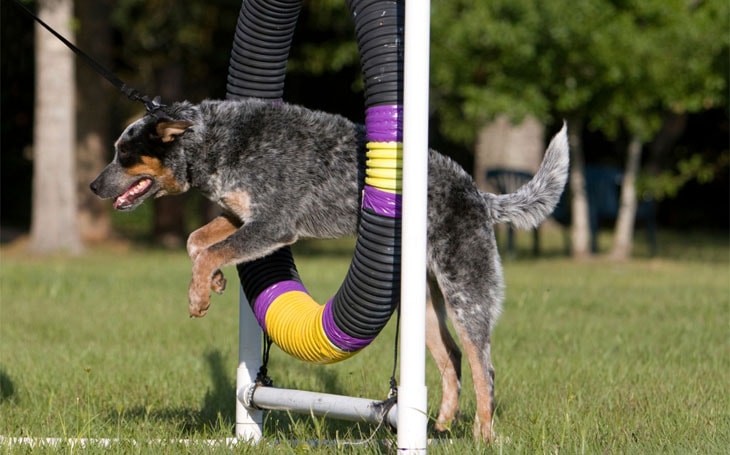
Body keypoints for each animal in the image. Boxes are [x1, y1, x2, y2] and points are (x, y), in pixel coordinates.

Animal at [89, 99, 568, 442]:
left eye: (124, 154)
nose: (93, 185)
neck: (216, 142)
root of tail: (480, 195)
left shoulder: (274, 225)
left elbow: (209, 251)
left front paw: (200, 296)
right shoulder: (242, 216)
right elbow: (196, 242)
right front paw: (215, 281)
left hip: (466, 291)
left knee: (483, 367)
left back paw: (484, 434)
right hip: (423, 302)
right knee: (450, 357)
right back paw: (442, 424)